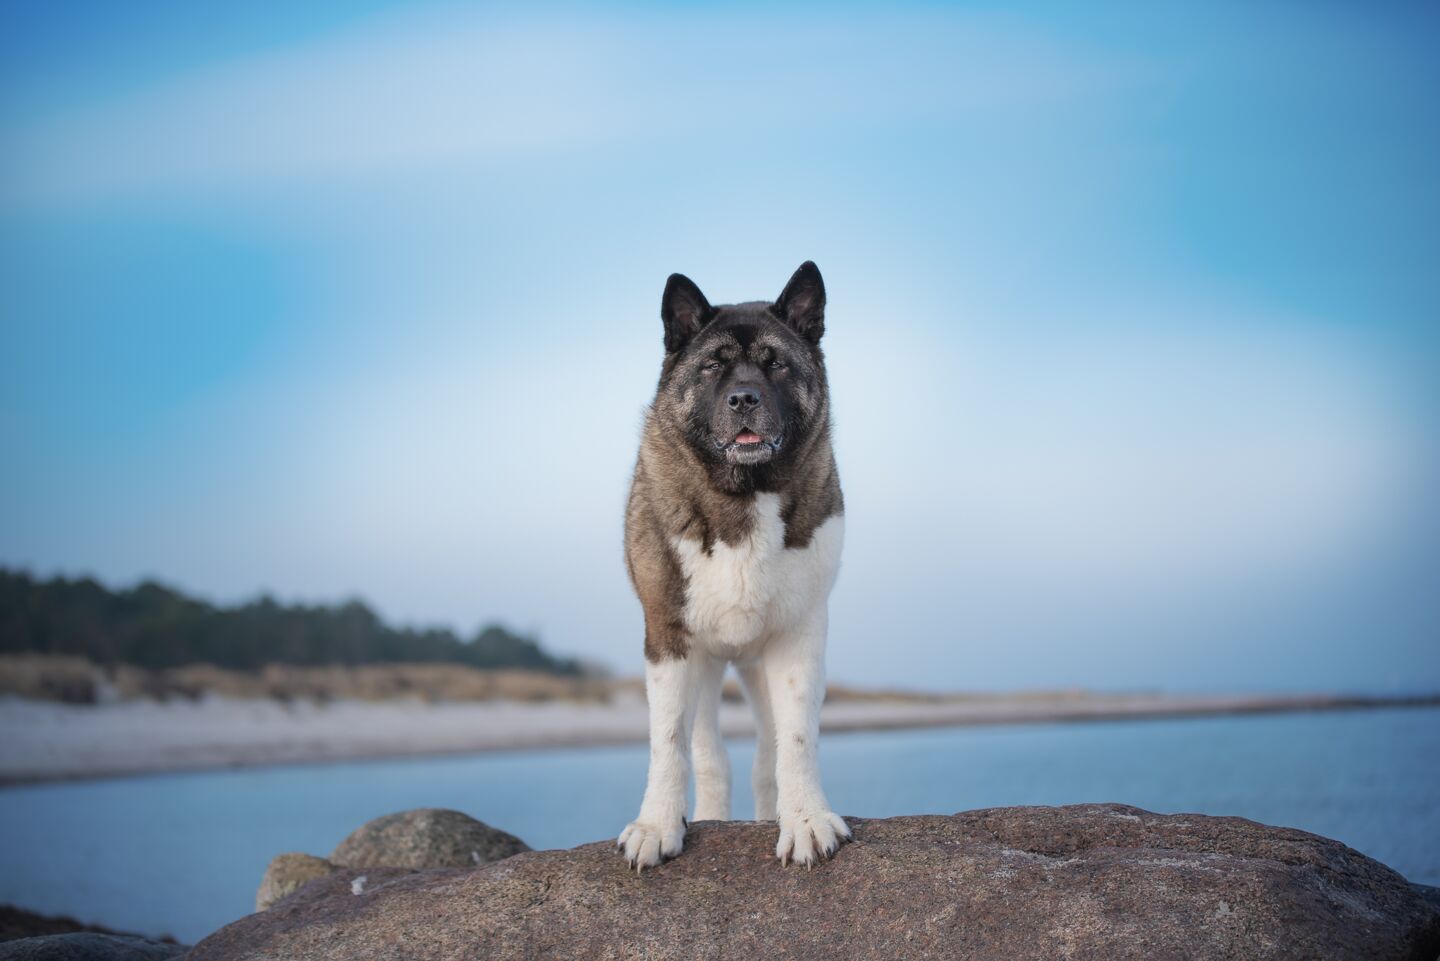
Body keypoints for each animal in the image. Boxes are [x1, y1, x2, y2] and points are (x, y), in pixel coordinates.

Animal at [618, 261, 849, 870]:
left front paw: (805, 819)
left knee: (767, 751)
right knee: (709, 753)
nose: (744, 399)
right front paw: (657, 824)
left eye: (776, 363)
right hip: (704, 665)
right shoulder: (669, 640)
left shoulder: (798, 638)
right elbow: (669, 743)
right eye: (713, 365)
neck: (743, 493)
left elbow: (795, 741)